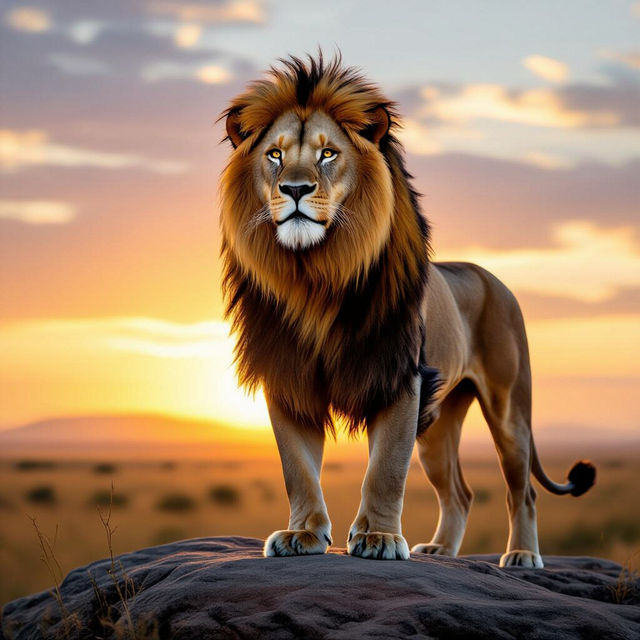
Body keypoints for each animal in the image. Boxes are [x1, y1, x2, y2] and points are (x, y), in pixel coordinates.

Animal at [219, 54, 595, 568]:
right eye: (274, 155)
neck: (315, 276)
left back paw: (521, 555)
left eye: (328, 154)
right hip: (439, 424)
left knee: (522, 489)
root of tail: (493, 278)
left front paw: (378, 538)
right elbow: (297, 468)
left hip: (508, 409)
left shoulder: (401, 376)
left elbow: (386, 469)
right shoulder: (289, 378)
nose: (295, 189)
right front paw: (303, 534)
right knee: (460, 492)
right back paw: (440, 550)